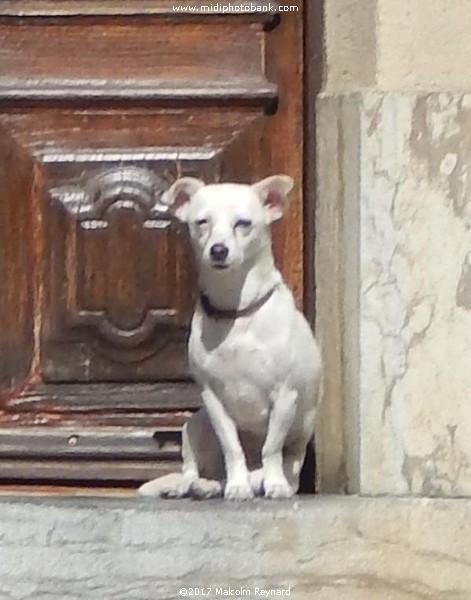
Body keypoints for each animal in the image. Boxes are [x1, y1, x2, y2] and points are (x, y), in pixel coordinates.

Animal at [136, 176, 320, 500]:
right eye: (202, 222)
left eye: (243, 223)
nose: (218, 250)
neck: (235, 311)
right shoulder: (213, 400)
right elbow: (232, 448)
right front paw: (237, 486)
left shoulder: (285, 397)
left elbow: (271, 448)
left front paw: (273, 484)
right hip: (195, 424)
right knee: (194, 469)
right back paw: (200, 485)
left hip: (299, 435)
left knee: (284, 465)